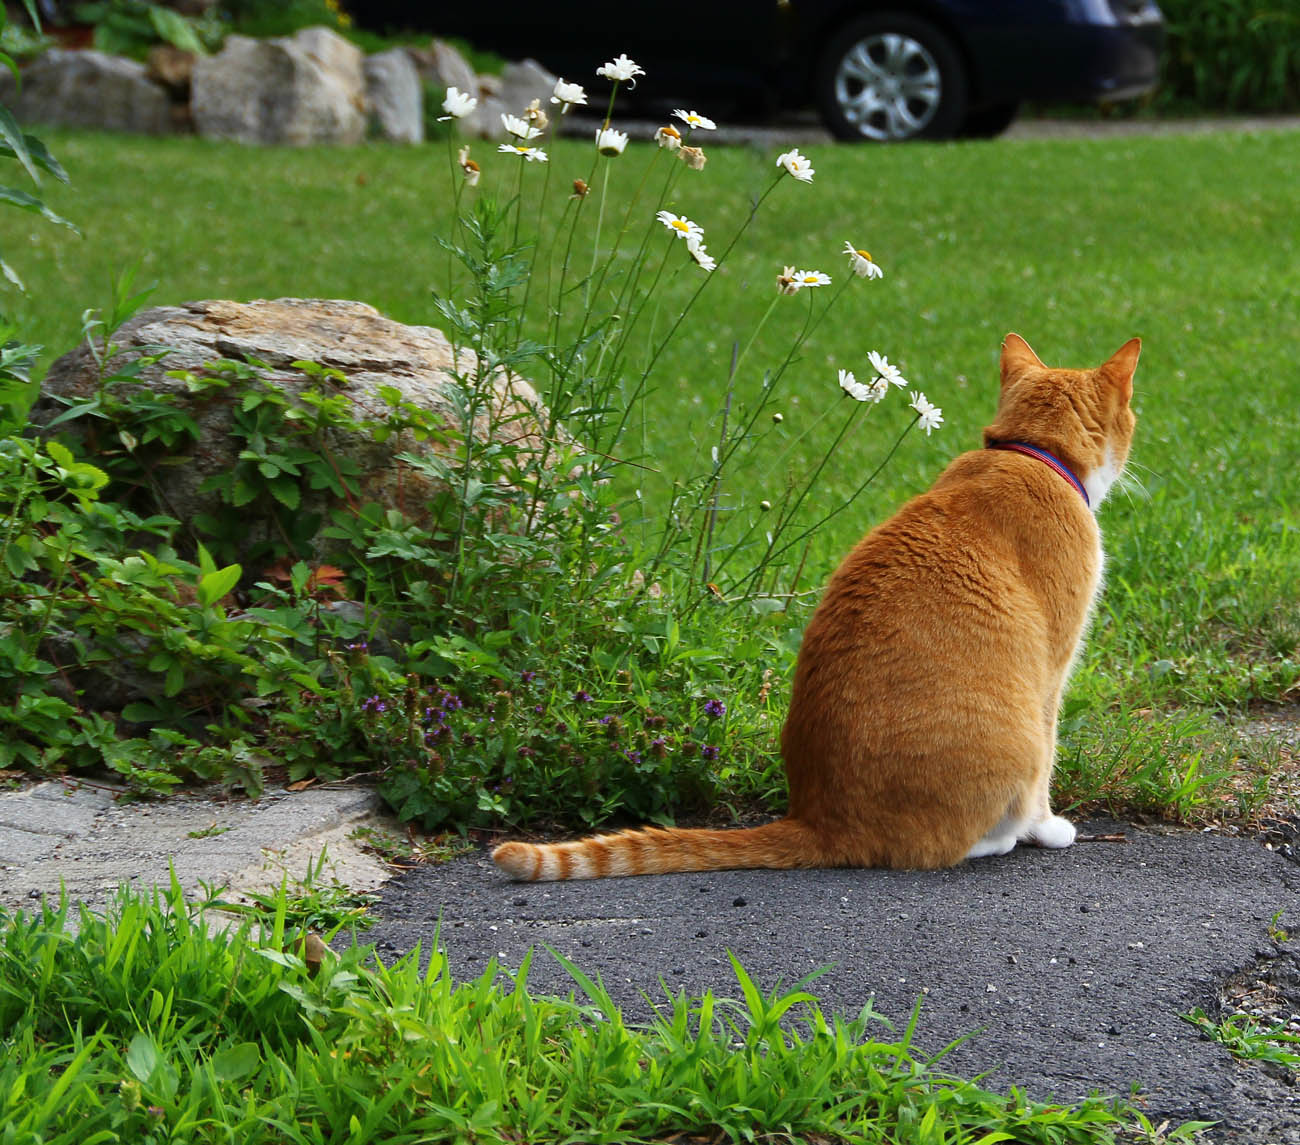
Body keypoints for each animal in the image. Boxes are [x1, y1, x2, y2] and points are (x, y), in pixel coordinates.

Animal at [491, 335, 1144, 878]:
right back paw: (1000, 837)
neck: (1028, 454)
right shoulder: (1052, 674)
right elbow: (1048, 767)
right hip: (1014, 733)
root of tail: (821, 821)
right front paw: (1047, 829)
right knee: (948, 841)